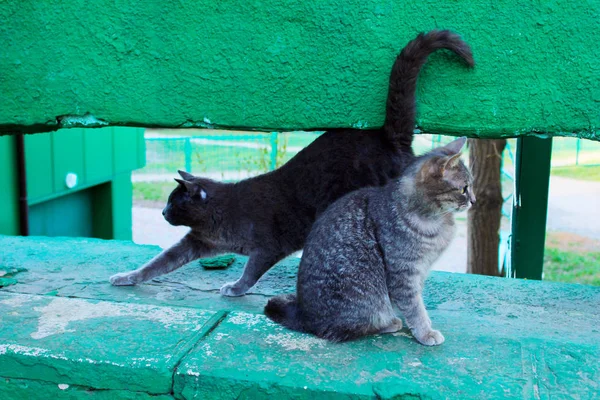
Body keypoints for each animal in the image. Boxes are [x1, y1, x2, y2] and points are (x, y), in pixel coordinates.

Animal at [109, 29, 474, 296]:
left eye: (173, 203)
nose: (162, 212)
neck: (221, 214)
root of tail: (387, 136)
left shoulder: (271, 245)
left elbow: (251, 269)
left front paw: (236, 288)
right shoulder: (197, 242)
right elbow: (159, 262)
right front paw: (126, 277)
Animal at [264, 137, 476, 344]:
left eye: (470, 187)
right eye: (464, 189)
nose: (473, 200)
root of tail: (304, 316)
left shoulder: (420, 271)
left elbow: (416, 301)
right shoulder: (404, 273)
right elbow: (414, 307)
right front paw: (425, 332)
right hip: (367, 299)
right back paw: (389, 323)